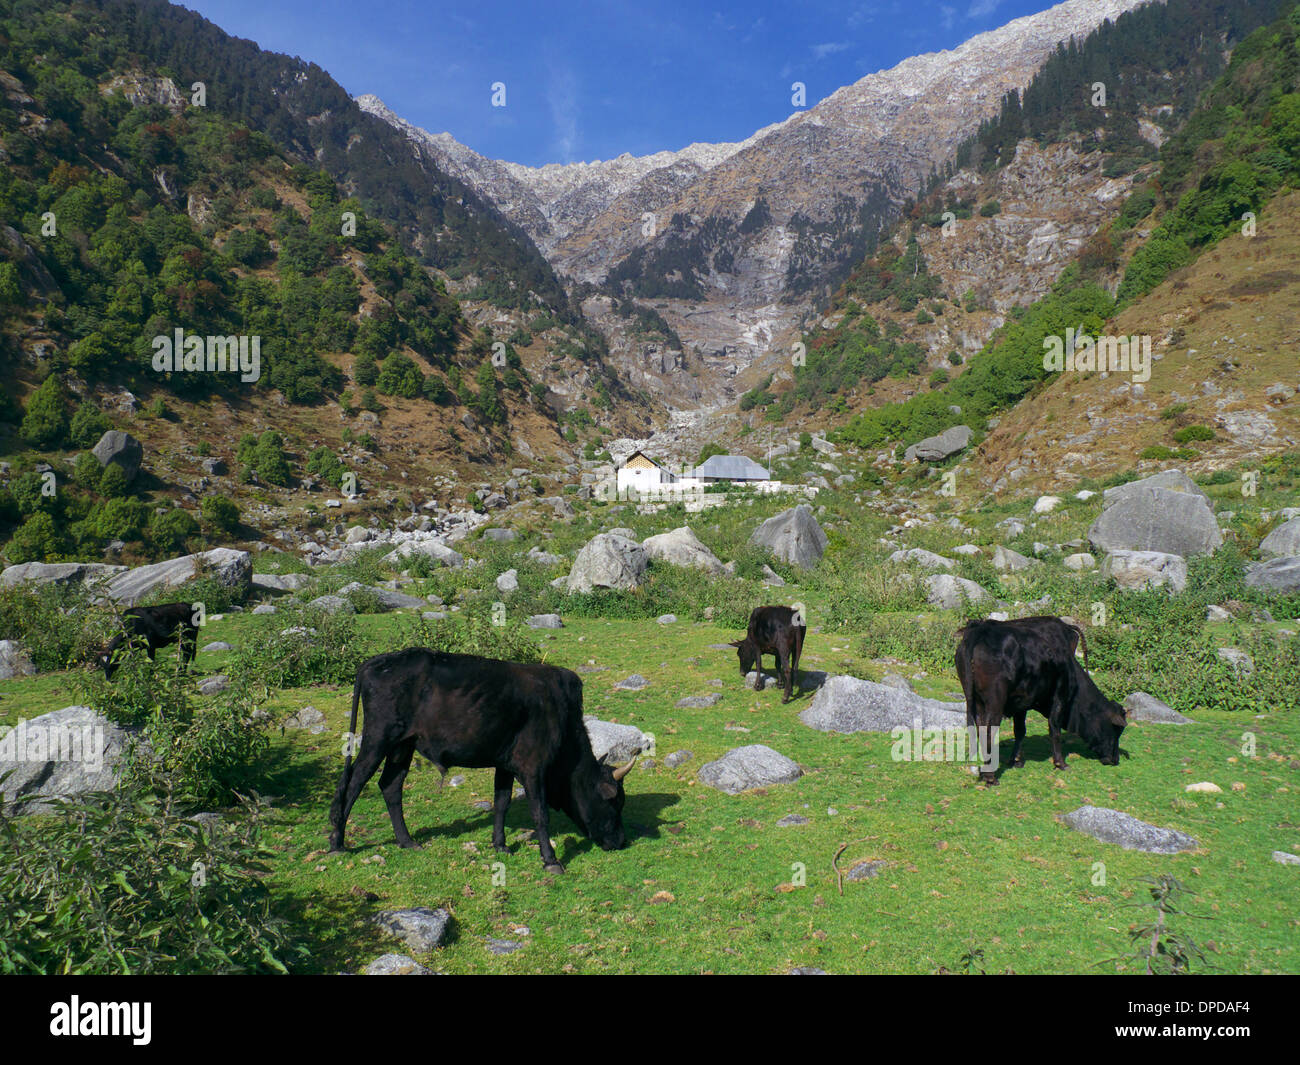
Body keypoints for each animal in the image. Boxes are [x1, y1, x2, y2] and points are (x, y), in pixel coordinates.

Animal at [327, 650, 637, 873]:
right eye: (612, 802)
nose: (621, 841)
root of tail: (377, 661)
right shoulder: (533, 767)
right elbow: (540, 813)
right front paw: (550, 860)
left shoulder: (506, 764)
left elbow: (502, 803)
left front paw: (500, 845)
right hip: (378, 738)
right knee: (354, 783)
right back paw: (338, 841)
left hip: (404, 745)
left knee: (390, 786)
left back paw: (406, 841)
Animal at [956, 616, 1128, 785]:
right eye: (1116, 729)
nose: (1115, 760)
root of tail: (980, 629)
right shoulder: (1060, 696)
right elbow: (1054, 728)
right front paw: (1060, 763)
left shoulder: (1021, 703)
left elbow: (1020, 731)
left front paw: (1015, 760)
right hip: (995, 703)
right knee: (989, 731)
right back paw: (990, 776)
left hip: (975, 701)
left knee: (980, 728)